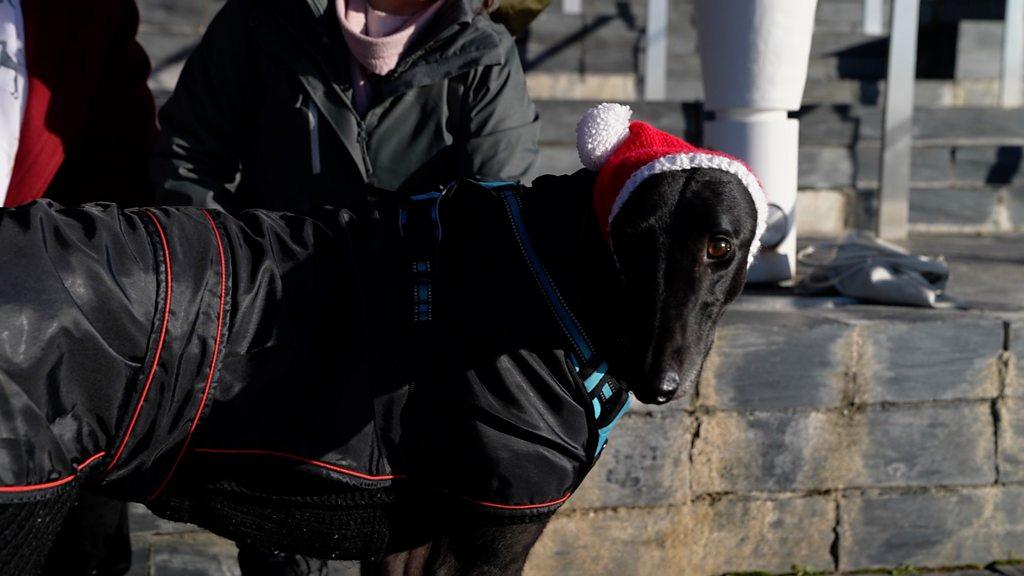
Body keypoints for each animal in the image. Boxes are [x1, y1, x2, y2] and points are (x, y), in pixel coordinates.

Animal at [0, 117, 761, 573]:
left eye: (720, 247)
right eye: (628, 241)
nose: (660, 381)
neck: (544, 270)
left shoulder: (414, 540)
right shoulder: (492, 536)